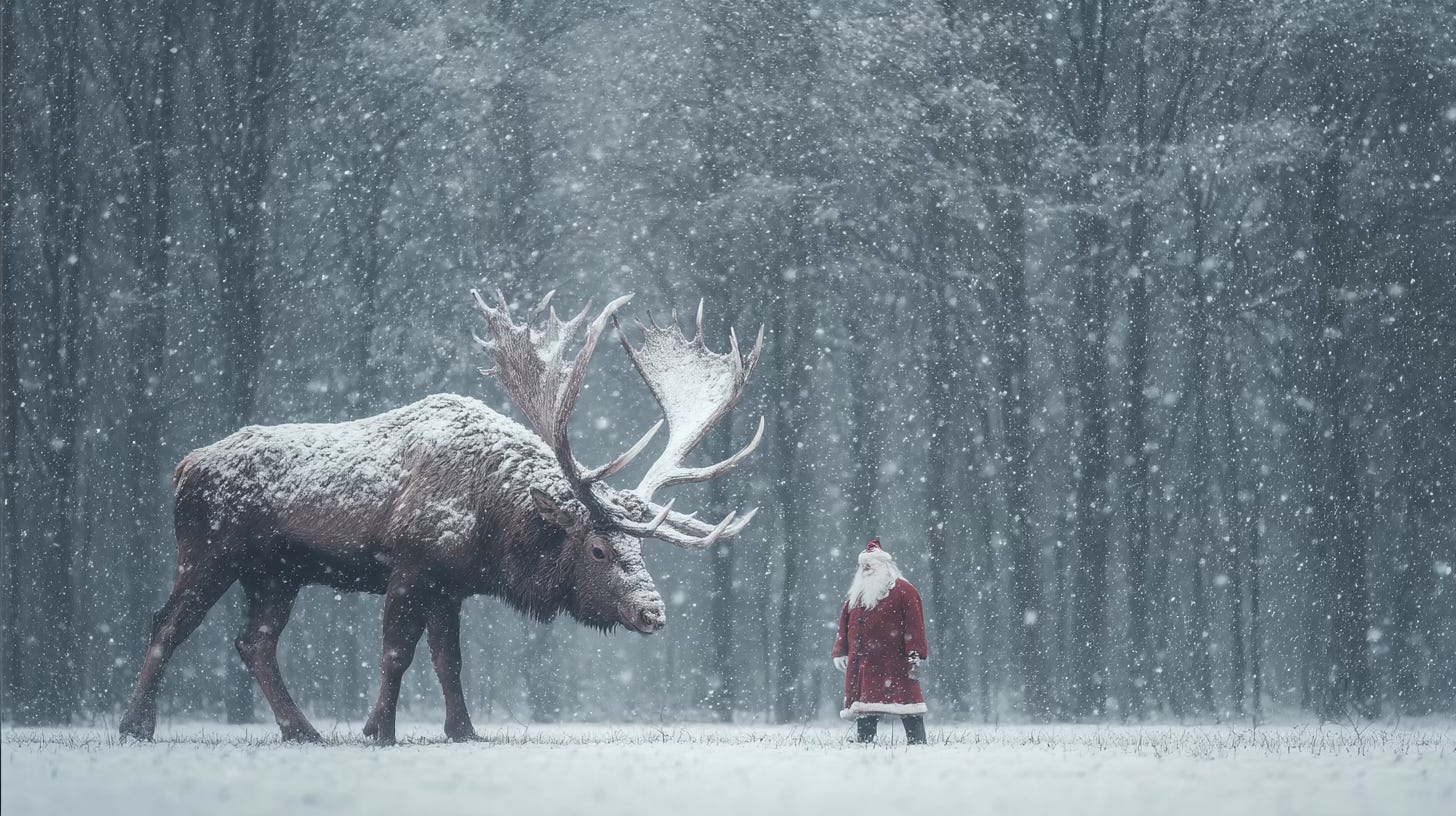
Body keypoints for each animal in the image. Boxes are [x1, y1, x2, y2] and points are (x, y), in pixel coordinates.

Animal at [118, 289, 764, 744]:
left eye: (642, 549)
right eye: (599, 548)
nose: (653, 611)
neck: (491, 523)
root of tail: (183, 467)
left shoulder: (451, 584)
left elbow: (448, 660)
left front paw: (463, 729)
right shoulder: (411, 564)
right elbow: (397, 653)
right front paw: (378, 730)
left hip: (277, 573)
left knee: (253, 642)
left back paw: (302, 730)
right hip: (209, 552)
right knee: (167, 624)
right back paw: (136, 725)